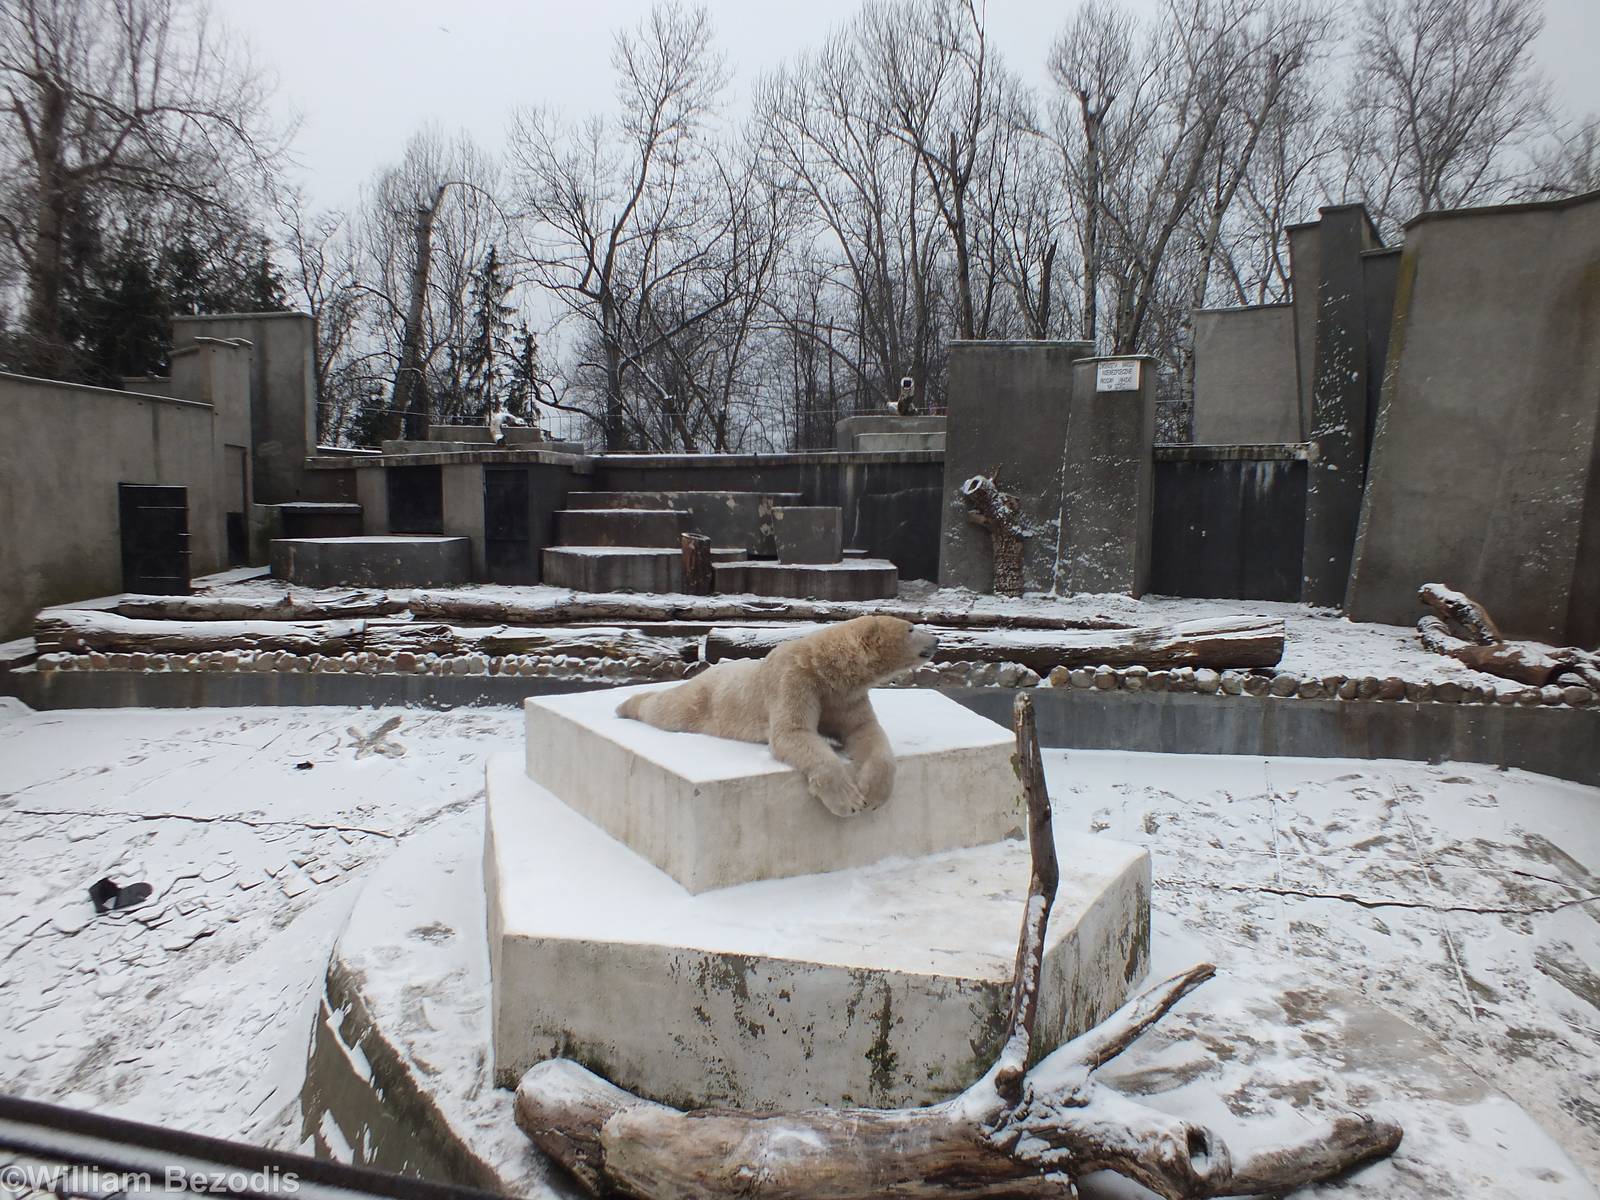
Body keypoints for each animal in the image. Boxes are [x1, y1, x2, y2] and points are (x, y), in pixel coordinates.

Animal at [616, 615, 939, 817]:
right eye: (911, 629)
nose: (936, 640)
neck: (826, 667)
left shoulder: (845, 696)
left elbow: (864, 730)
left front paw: (872, 794)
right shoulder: (794, 680)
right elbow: (792, 732)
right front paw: (848, 801)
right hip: (704, 700)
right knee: (668, 709)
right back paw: (626, 705)